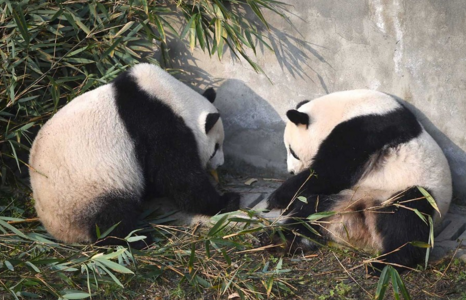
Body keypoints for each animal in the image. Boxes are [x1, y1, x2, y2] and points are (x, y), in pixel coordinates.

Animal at [29, 62, 240, 246]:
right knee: (112, 219)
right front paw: (227, 200)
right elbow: (179, 178)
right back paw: (139, 239)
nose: (220, 164)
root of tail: (60, 233)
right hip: (89, 192)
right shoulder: (156, 126)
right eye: (216, 147)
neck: (171, 98)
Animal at [264, 89, 454, 274]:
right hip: (343, 199)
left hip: (412, 191)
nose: (291, 171)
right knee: (310, 212)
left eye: (293, 151)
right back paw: (279, 240)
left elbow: (331, 172)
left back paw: (385, 263)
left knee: (407, 220)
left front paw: (276, 198)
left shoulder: (365, 129)